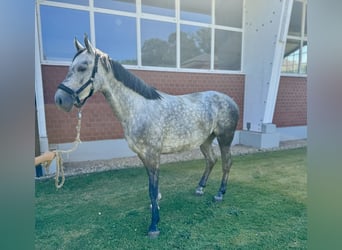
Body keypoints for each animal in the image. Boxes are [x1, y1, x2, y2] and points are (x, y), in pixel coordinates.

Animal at [54, 35, 239, 238]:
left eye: (82, 67)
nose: (59, 99)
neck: (138, 108)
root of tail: (230, 100)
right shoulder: (143, 155)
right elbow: (152, 188)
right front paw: (155, 206)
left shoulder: (152, 155)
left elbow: (152, 188)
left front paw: (154, 225)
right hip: (205, 141)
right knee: (211, 160)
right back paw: (200, 188)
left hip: (225, 138)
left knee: (227, 163)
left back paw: (220, 193)